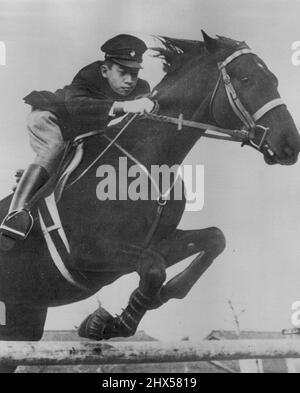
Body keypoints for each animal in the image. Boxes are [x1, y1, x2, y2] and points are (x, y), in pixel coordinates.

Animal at [0, 31, 300, 370]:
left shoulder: (157, 241)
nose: (290, 145)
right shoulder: (88, 254)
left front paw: (119, 317)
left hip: (23, 316)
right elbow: (154, 267)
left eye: (273, 79)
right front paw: (105, 322)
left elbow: (213, 240)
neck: (150, 157)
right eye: (247, 79)